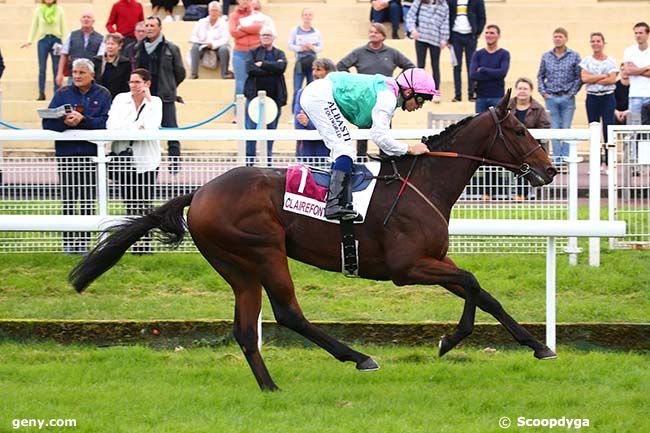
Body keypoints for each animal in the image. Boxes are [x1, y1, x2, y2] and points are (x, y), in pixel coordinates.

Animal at [71, 89, 556, 390]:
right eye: (519, 131)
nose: (550, 170)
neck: (424, 182)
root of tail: (201, 192)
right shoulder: (408, 267)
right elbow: (473, 282)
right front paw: (452, 340)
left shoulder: (434, 262)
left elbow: (483, 293)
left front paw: (538, 346)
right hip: (265, 251)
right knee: (288, 313)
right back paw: (358, 357)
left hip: (237, 267)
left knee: (246, 330)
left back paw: (270, 387)